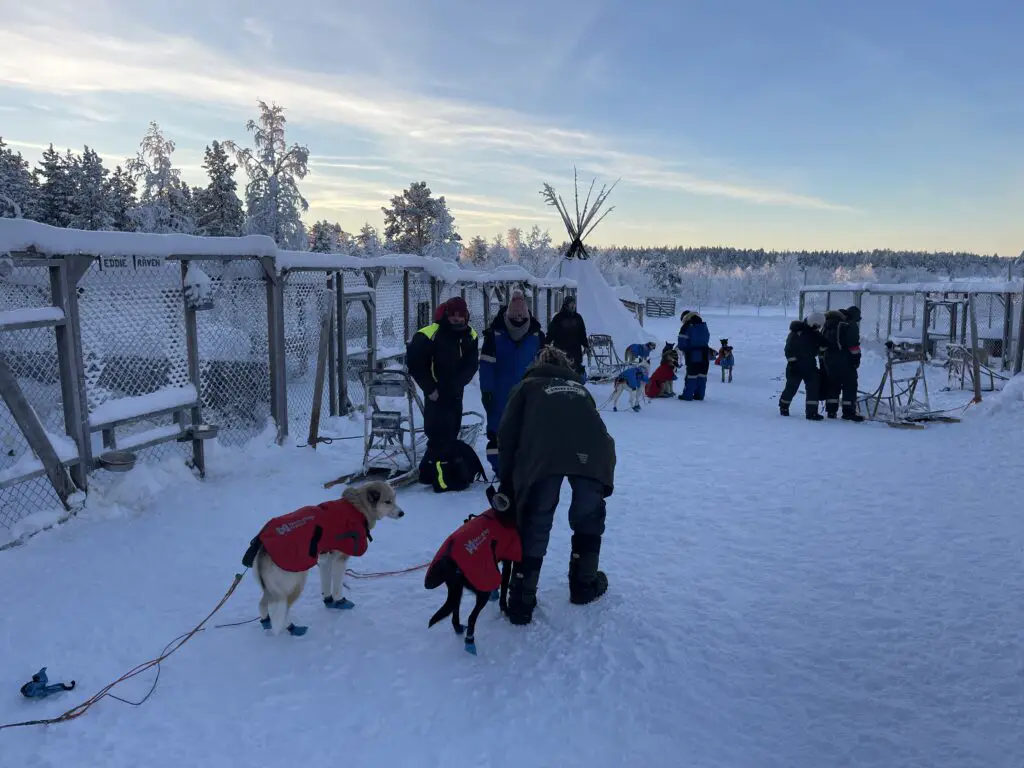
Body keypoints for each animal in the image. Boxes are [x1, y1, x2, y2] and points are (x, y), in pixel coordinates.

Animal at [240, 481, 403, 638]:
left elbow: (326, 584)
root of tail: (263, 545)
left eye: (395, 499)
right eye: (388, 501)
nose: (402, 513)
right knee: (282, 609)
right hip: (295, 584)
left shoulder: (325, 560)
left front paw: (329, 601)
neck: (358, 507)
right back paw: (292, 628)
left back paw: (266, 622)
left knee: (262, 605)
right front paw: (339, 601)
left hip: (271, 590)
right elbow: (337, 586)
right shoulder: (340, 560)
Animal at [423, 487, 520, 655]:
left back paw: (459, 629)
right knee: (471, 617)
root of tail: (449, 561)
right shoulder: (507, 561)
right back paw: (470, 641)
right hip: (478, 592)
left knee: (454, 613)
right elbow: (503, 588)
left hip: (457, 590)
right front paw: (504, 608)